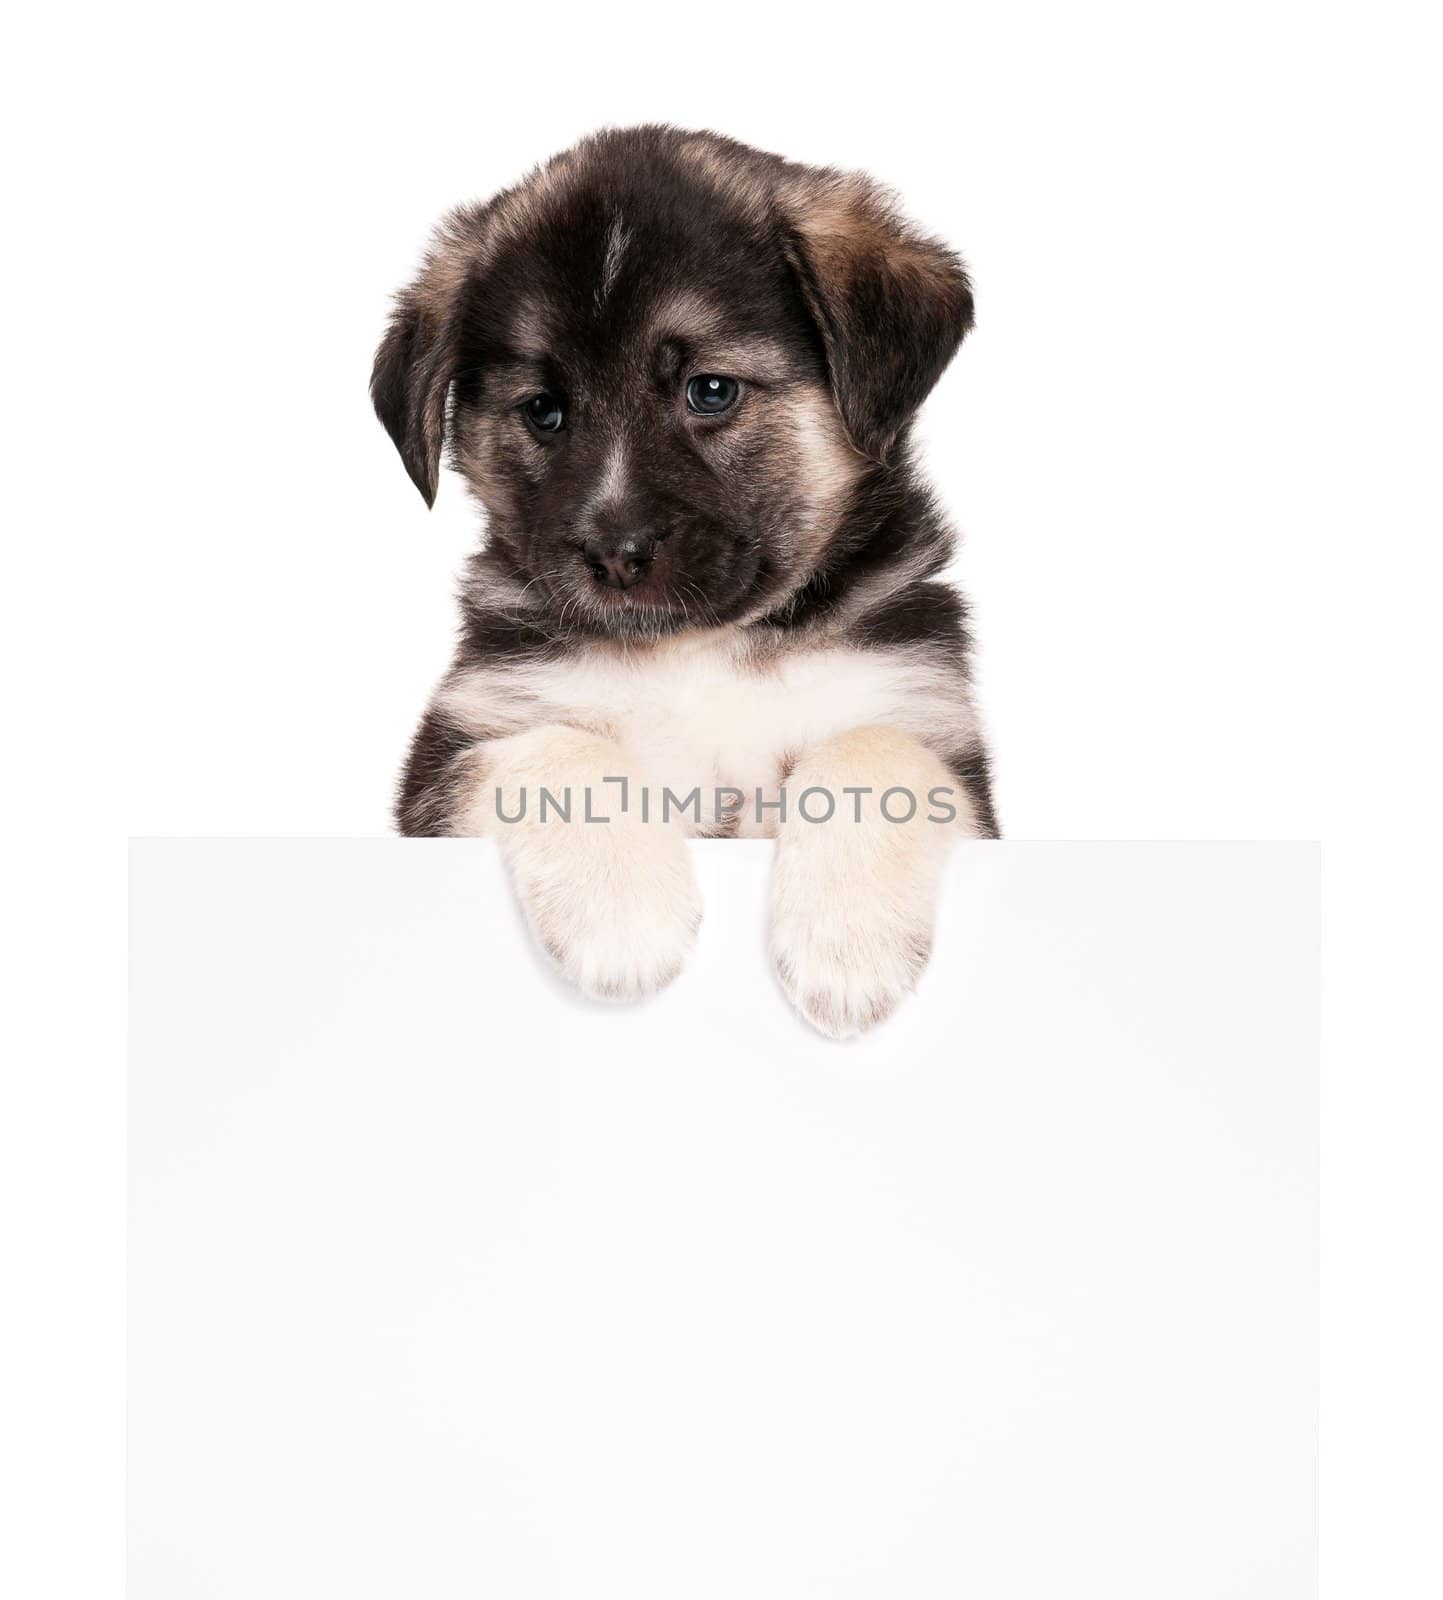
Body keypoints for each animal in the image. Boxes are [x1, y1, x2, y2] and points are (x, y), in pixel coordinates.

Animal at [372, 121, 998, 1024]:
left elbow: (875, 752)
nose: (614, 554)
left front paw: (850, 949)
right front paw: (622, 919)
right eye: (543, 410)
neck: (703, 653)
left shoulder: (926, 723)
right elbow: (553, 748)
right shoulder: (457, 753)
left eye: (709, 391)